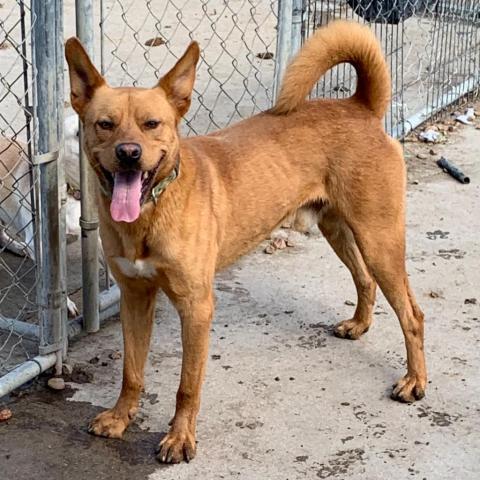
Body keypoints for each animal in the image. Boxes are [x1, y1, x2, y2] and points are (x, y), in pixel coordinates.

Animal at [64, 20, 428, 464]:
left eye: (152, 124)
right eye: (105, 124)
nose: (129, 154)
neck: (153, 211)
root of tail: (360, 106)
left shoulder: (196, 308)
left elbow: (187, 386)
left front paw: (180, 438)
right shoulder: (135, 297)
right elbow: (131, 371)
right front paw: (120, 418)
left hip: (379, 238)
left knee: (412, 314)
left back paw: (414, 381)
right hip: (339, 229)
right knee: (364, 279)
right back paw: (359, 324)